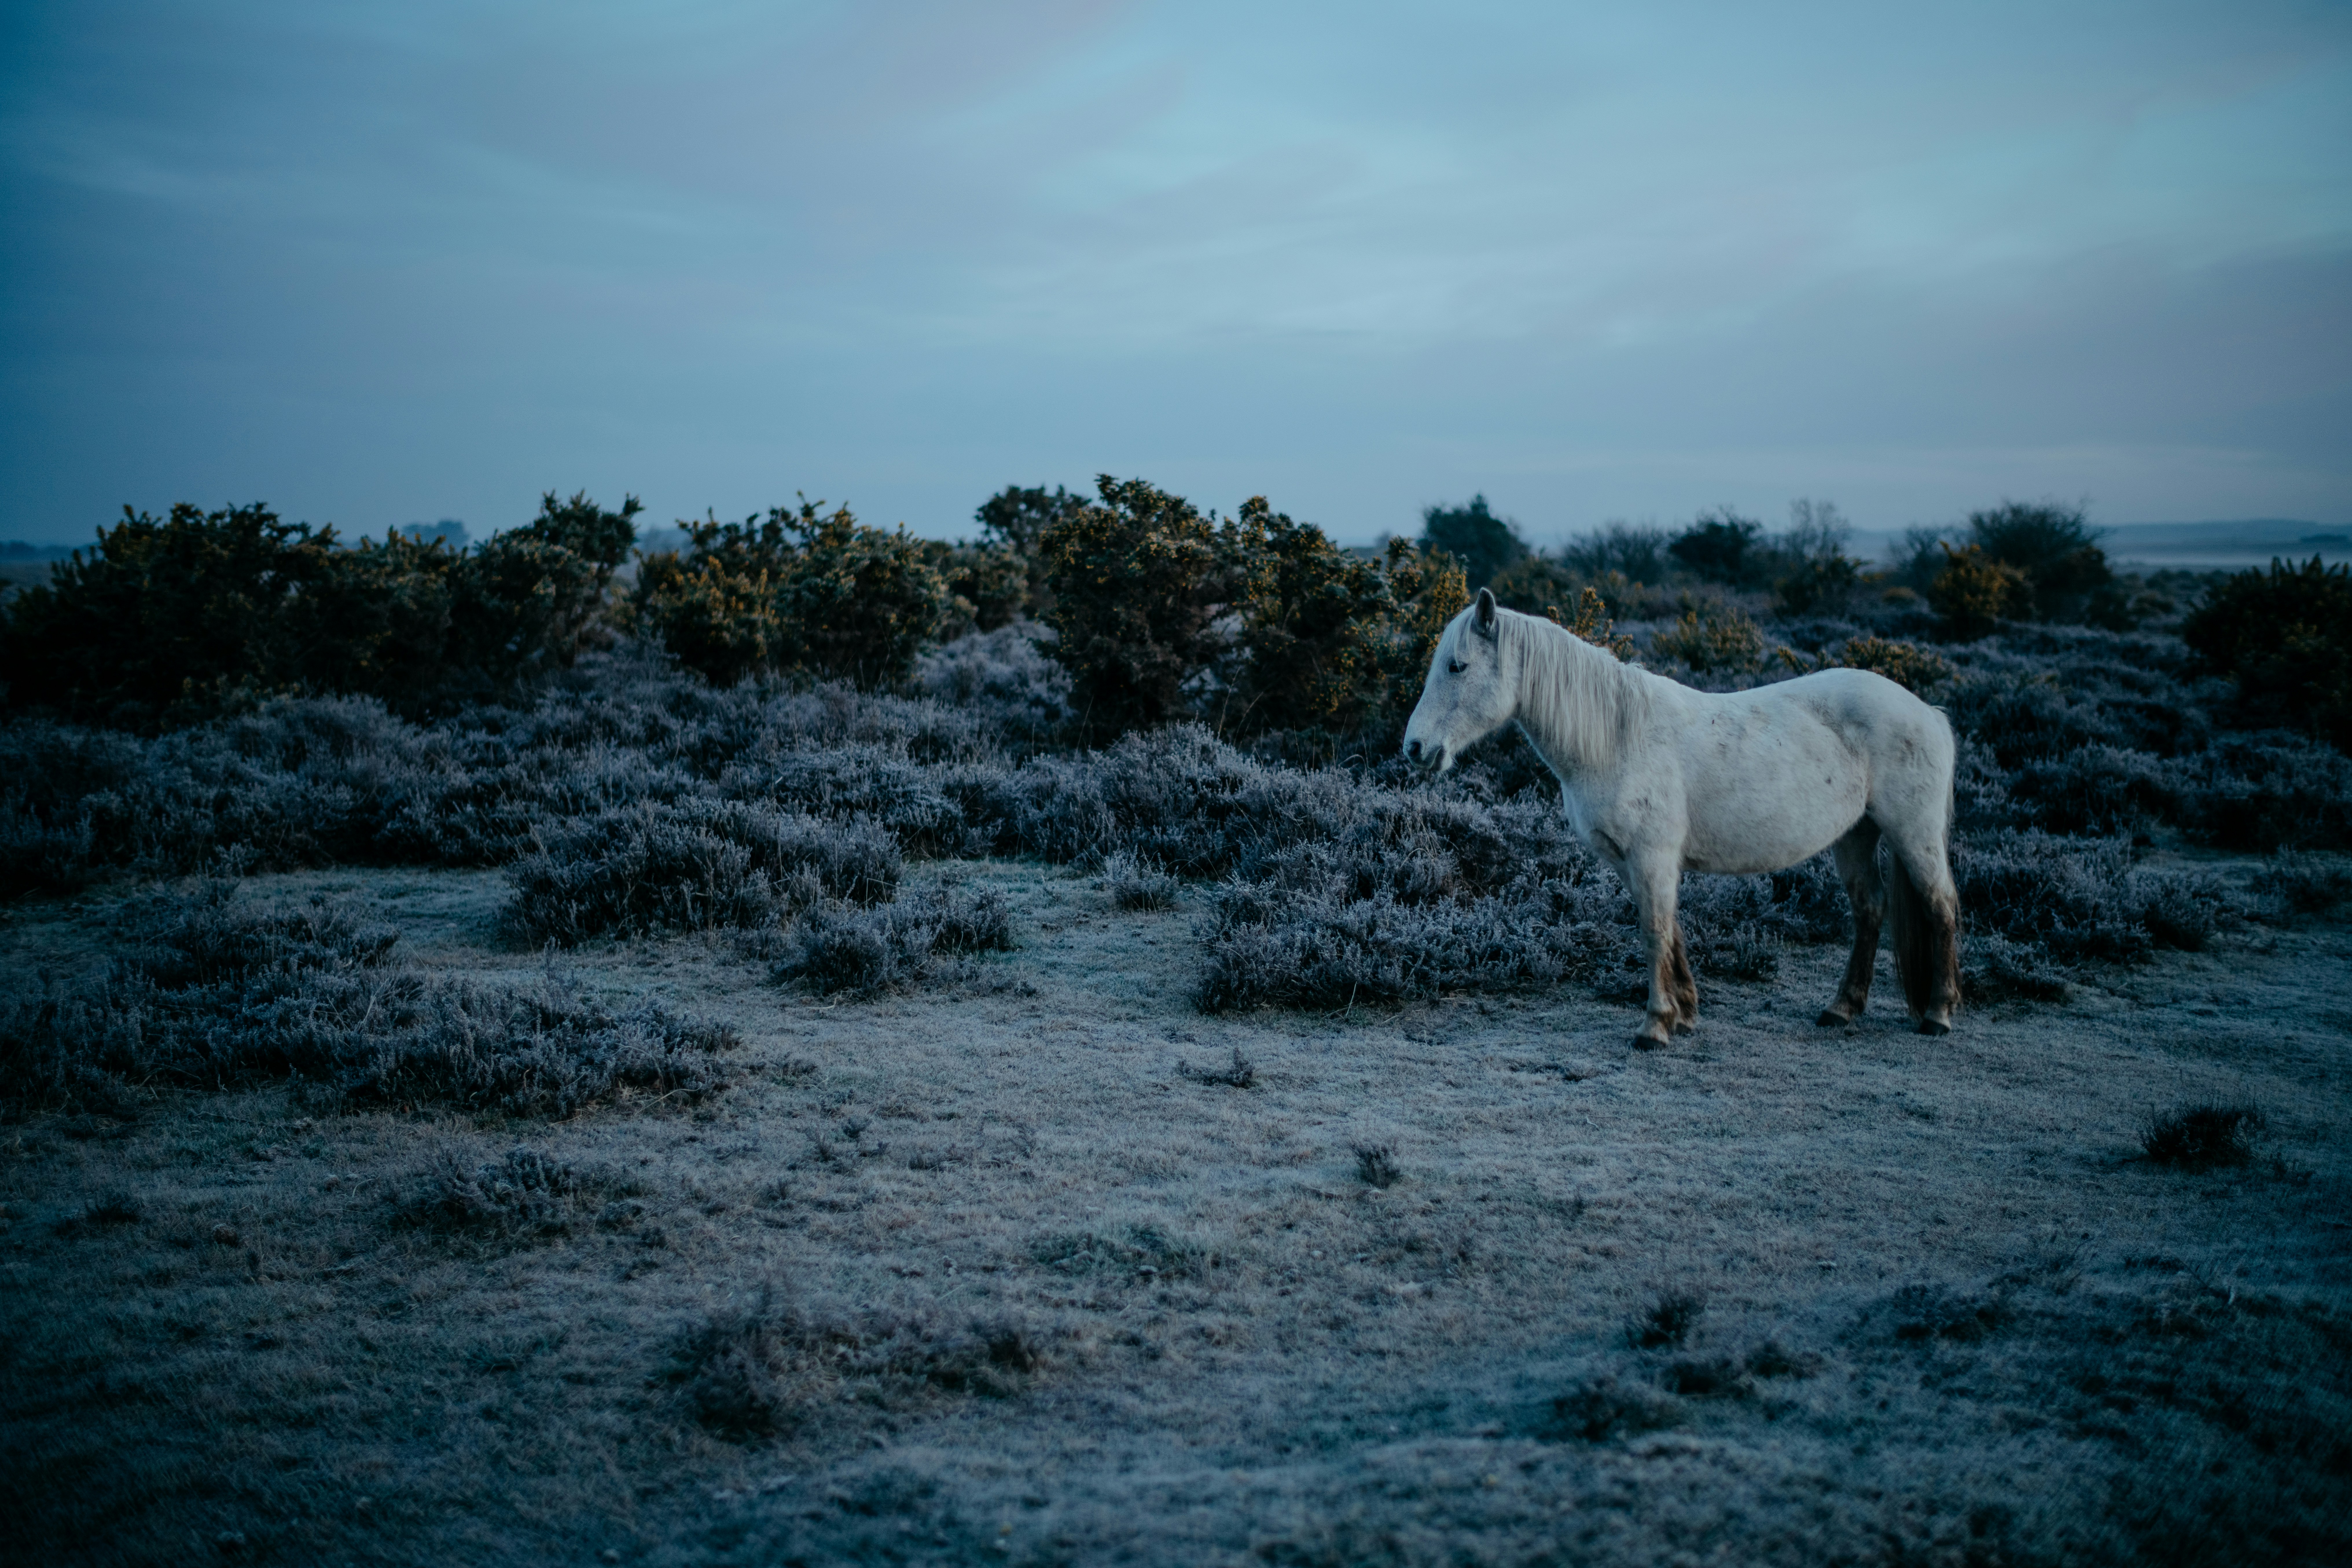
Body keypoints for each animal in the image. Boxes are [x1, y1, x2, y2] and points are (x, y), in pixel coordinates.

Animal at [1402, 589, 1960, 1049]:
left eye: (1457, 666)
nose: (1415, 748)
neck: (1617, 739)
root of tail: (1928, 712)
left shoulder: (1652, 857)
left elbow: (1653, 931)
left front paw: (1654, 1026)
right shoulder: (1634, 862)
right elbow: (1669, 929)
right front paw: (1685, 1013)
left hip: (1913, 833)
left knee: (1940, 905)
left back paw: (1937, 1013)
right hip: (1855, 835)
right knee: (1869, 909)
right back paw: (1841, 1008)